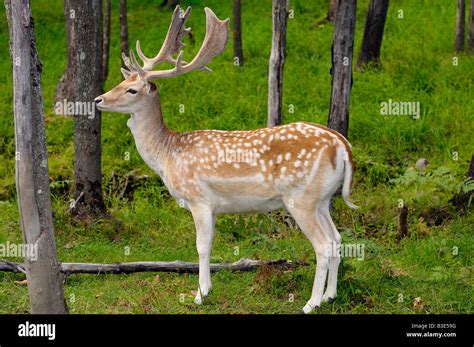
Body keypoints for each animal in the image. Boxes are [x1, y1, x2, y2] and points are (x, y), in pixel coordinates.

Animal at [94, 5, 358, 316]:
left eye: (132, 90)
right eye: (121, 81)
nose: (98, 99)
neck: (168, 154)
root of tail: (342, 145)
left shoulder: (199, 199)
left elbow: (201, 246)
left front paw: (199, 294)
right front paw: (205, 289)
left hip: (301, 198)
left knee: (322, 245)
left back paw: (311, 302)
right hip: (323, 199)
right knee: (337, 239)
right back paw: (330, 295)